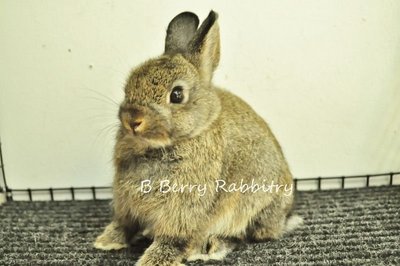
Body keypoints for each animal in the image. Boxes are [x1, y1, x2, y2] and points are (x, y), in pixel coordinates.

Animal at [94, 10, 302, 266]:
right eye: (128, 86)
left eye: (176, 94)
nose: (132, 119)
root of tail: (284, 218)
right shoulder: (126, 201)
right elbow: (125, 224)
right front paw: (106, 241)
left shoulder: (185, 206)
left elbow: (173, 238)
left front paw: (154, 260)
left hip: (253, 209)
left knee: (240, 235)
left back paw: (208, 247)